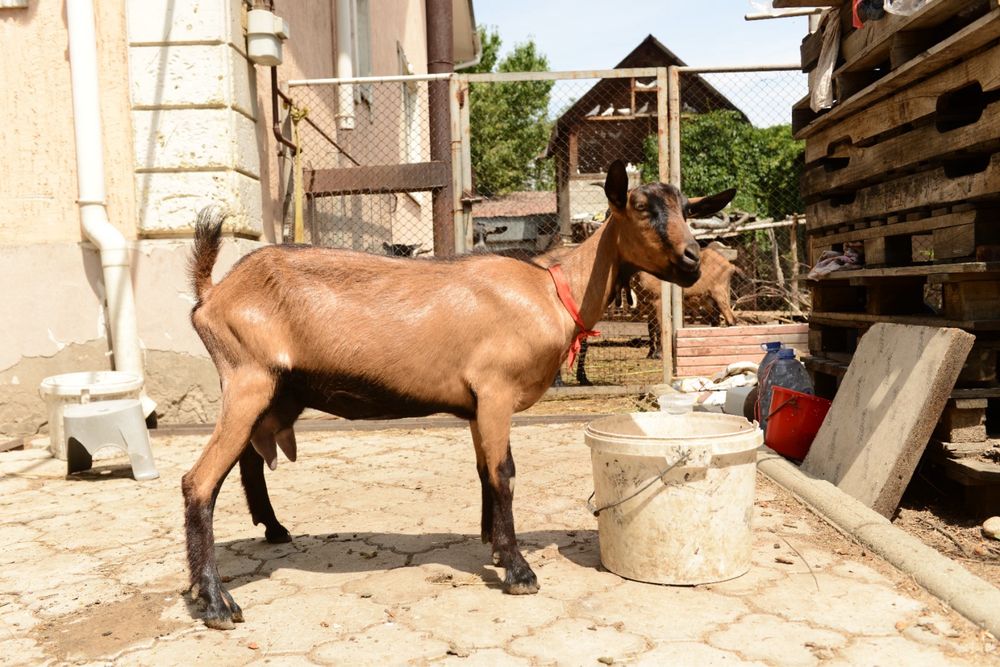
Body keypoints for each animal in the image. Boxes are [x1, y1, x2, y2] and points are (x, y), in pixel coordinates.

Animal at [182, 160, 735, 629]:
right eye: (641, 208)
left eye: (688, 211)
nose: (691, 260)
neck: (552, 293)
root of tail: (212, 293)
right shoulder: (495, 391)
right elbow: (504, 473)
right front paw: (518, 569)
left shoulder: (475, 404)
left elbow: (484, 471)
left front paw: (494, 546)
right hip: (248, 379)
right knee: (199, 481)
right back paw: (215, 601)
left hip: (270, 390)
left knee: (247, 460)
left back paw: (272, 530)